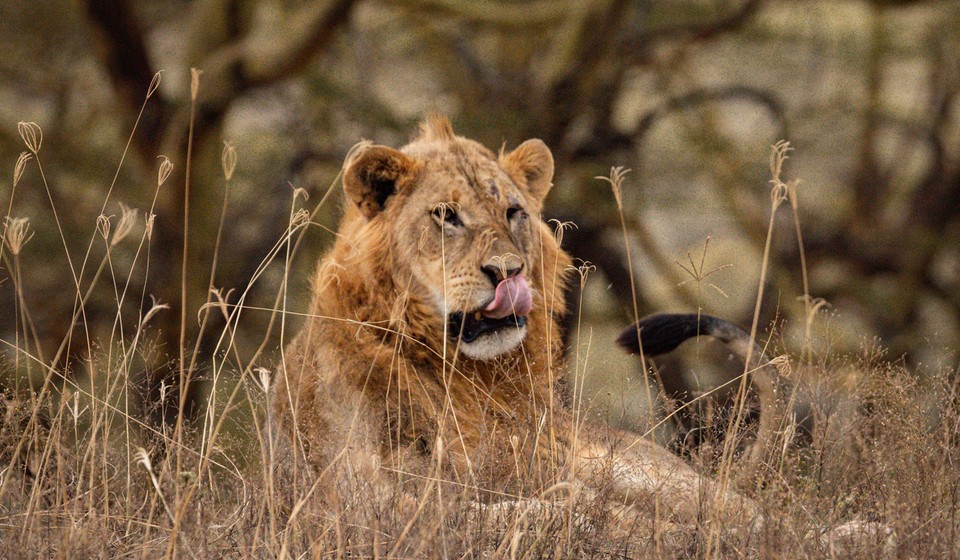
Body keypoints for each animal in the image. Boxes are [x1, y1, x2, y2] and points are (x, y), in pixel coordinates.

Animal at [266, 115, 776, 532]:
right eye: (446, 216)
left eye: (513, 212)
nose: (507, 271)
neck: (466, 374)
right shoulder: (347, 489)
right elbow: (472, 513)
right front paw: (573, 511)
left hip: (633, 470)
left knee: (749, 514)